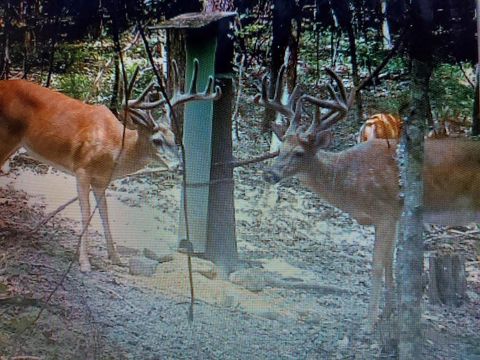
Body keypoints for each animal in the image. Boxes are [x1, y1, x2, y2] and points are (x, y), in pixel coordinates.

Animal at [0, 60, 221, 272]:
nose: (179, 166)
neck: (115, 147)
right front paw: (84, 262)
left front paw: (116, 258)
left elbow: (104, 213)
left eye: (175, 138)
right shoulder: (82, 169)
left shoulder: (101, 181)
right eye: (157, 140)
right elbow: (86, 213)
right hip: (7, 136)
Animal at [256, 66, 480, 328]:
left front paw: (370, 321)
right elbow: (389, 264)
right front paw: (388, 313)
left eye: (300, 152)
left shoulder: (386, 211)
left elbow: (376, 266)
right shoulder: (393, 216)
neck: (350, 183)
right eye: (279, 149)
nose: (269, 174)